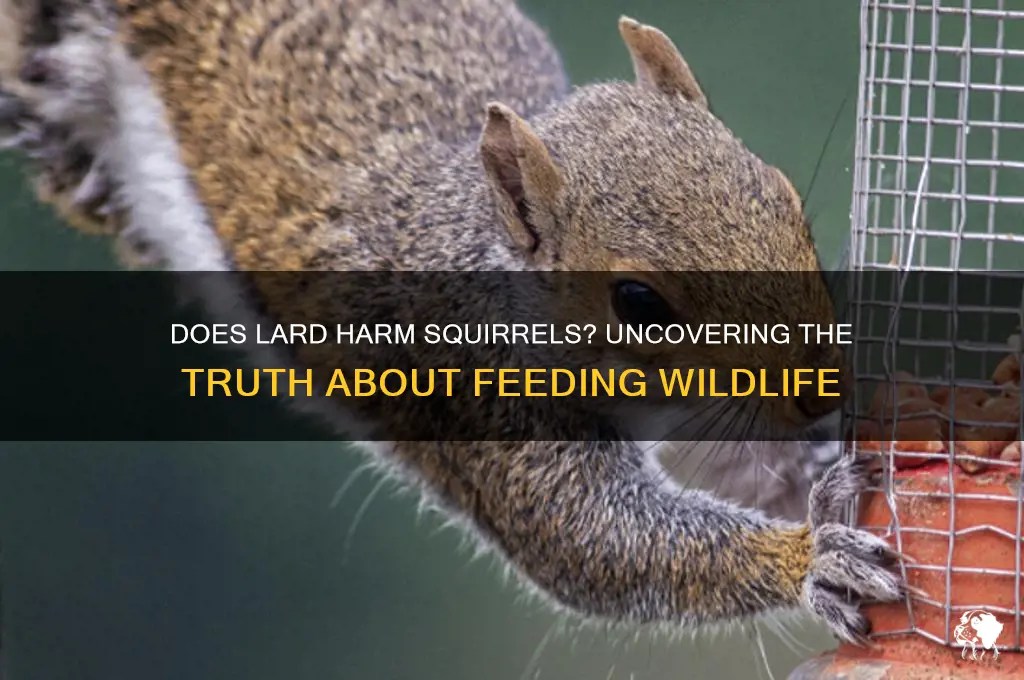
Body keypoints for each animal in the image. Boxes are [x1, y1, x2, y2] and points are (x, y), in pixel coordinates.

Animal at [0, 0, 901, 645]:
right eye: (638, 303)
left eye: (786, 201)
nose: (822, 392)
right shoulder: (478, 401)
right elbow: (599, 545)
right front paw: (815, 559)